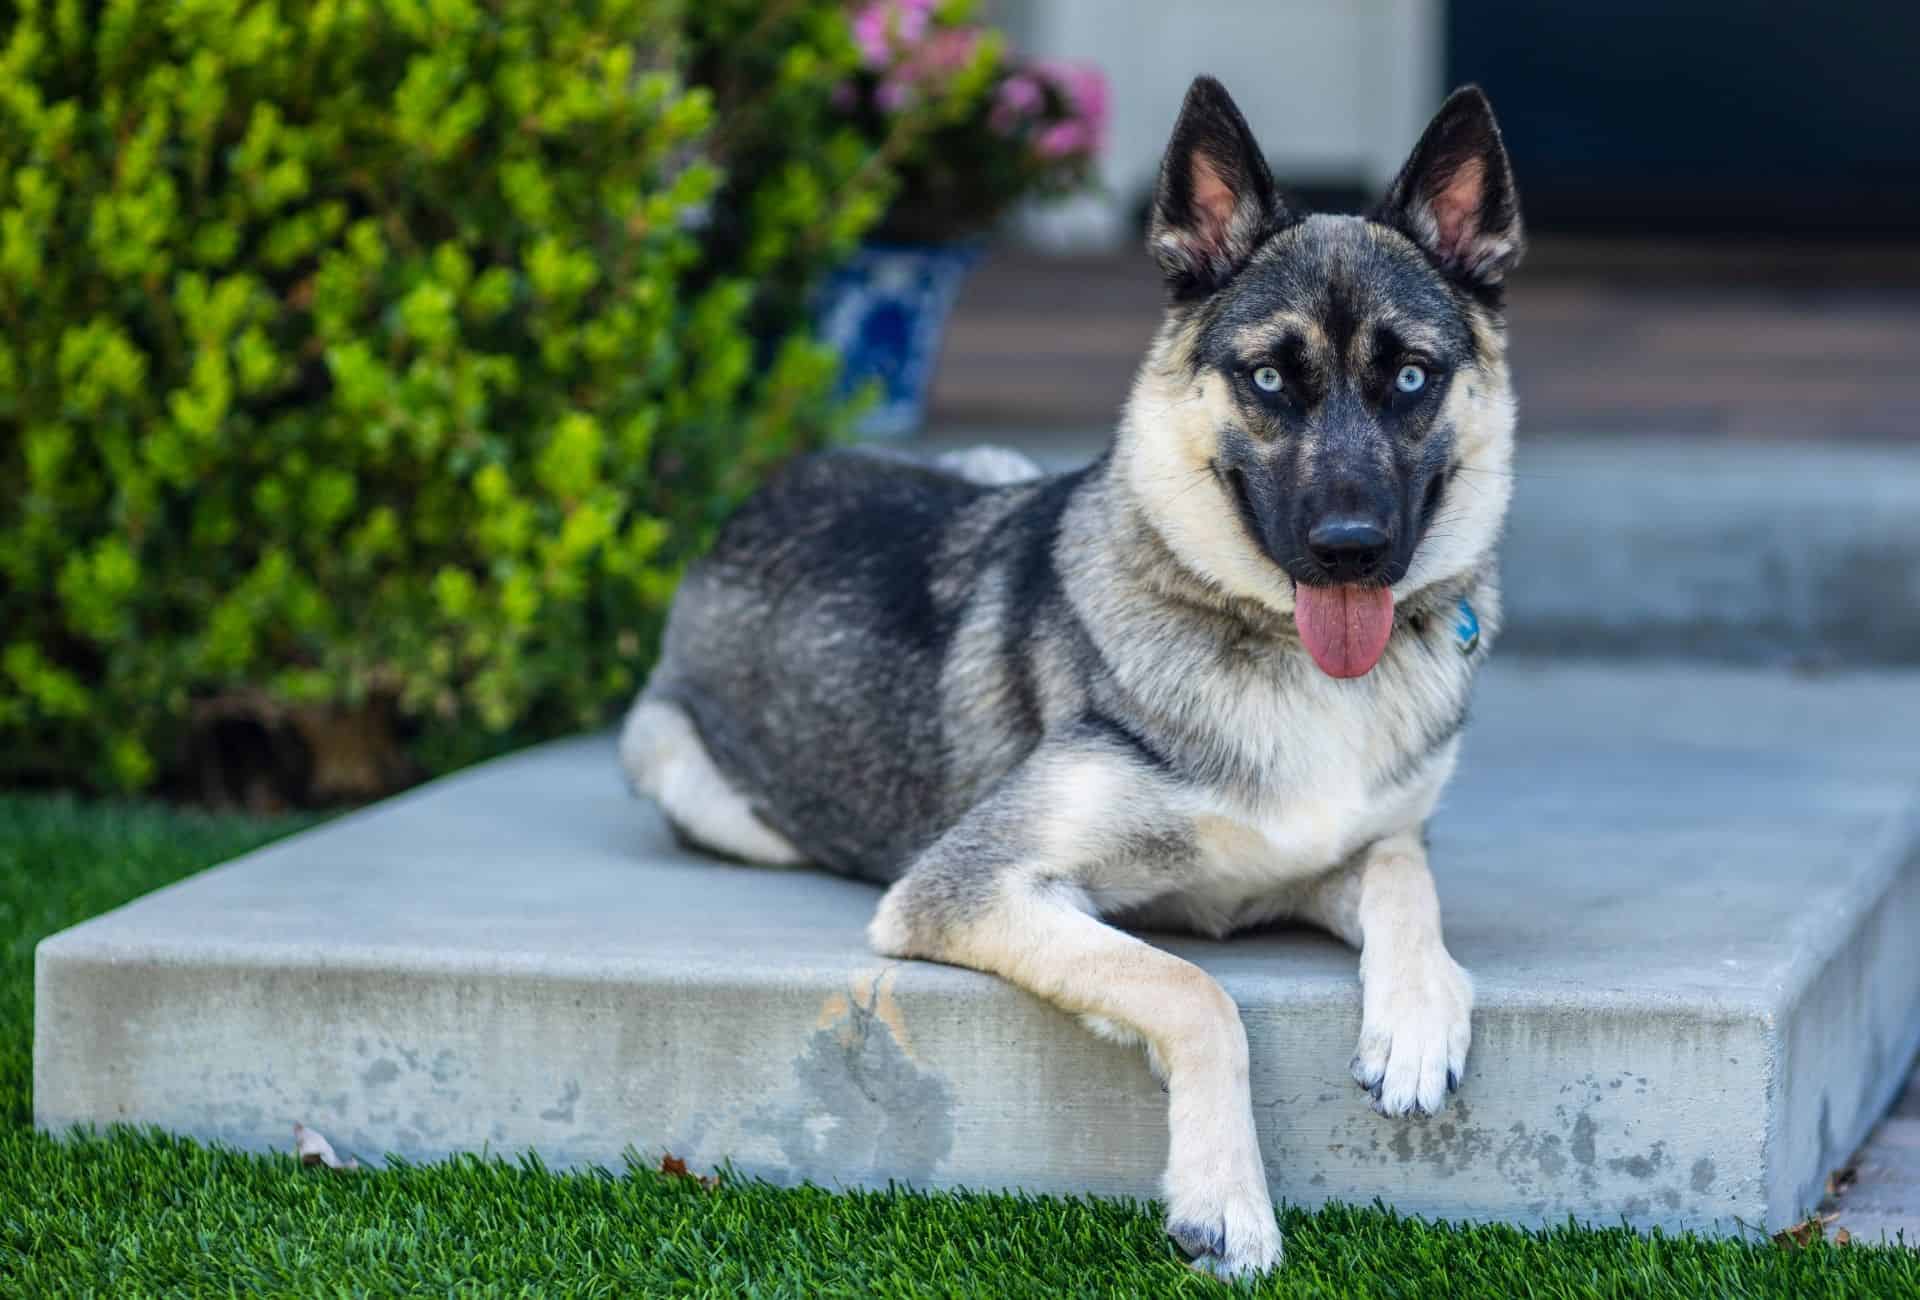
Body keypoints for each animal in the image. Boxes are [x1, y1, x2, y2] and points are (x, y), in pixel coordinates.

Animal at [622, 75, 1520, 1275]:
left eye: (1413, 377)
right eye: (1268, 378)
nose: (1351, 549)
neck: (1280, 647)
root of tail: (765, 492)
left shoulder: (1329, 856)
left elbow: (1401, 873)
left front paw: (1419, 1014)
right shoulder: (974, 887)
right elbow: (1192, 988)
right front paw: (1226, 1197)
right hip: (684, 769)